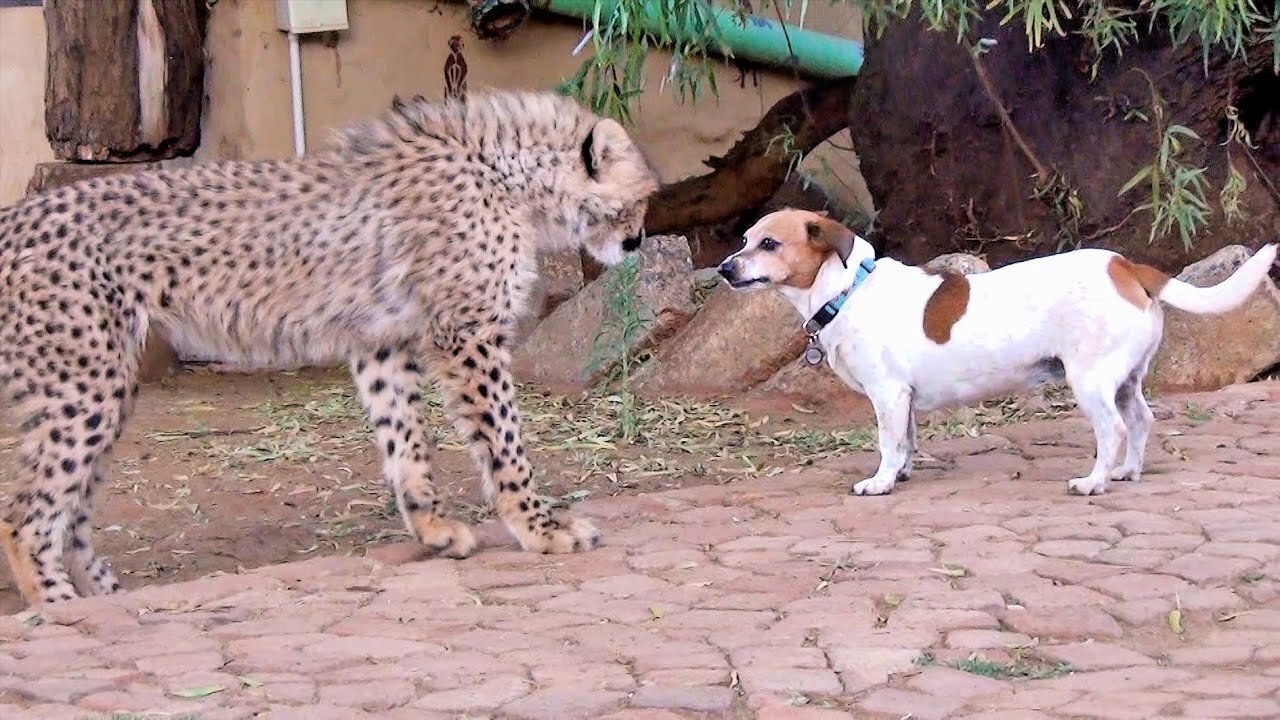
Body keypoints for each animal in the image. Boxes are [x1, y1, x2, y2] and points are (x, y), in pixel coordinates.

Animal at [721, 208, 1280, 491]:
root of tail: (1126, 266)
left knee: (1114, 430)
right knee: (1141, 421)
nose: (725, 268)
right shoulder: (905, 401)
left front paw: (880, 482)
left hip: (1091, 382)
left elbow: (887, 443)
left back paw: (1094, 481)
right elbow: (906, 442)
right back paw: (1127, 472)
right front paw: (901, 473)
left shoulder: (887, 395)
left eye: (769, 244)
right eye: (745, 239)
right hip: (1125, 381)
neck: (847, 289)